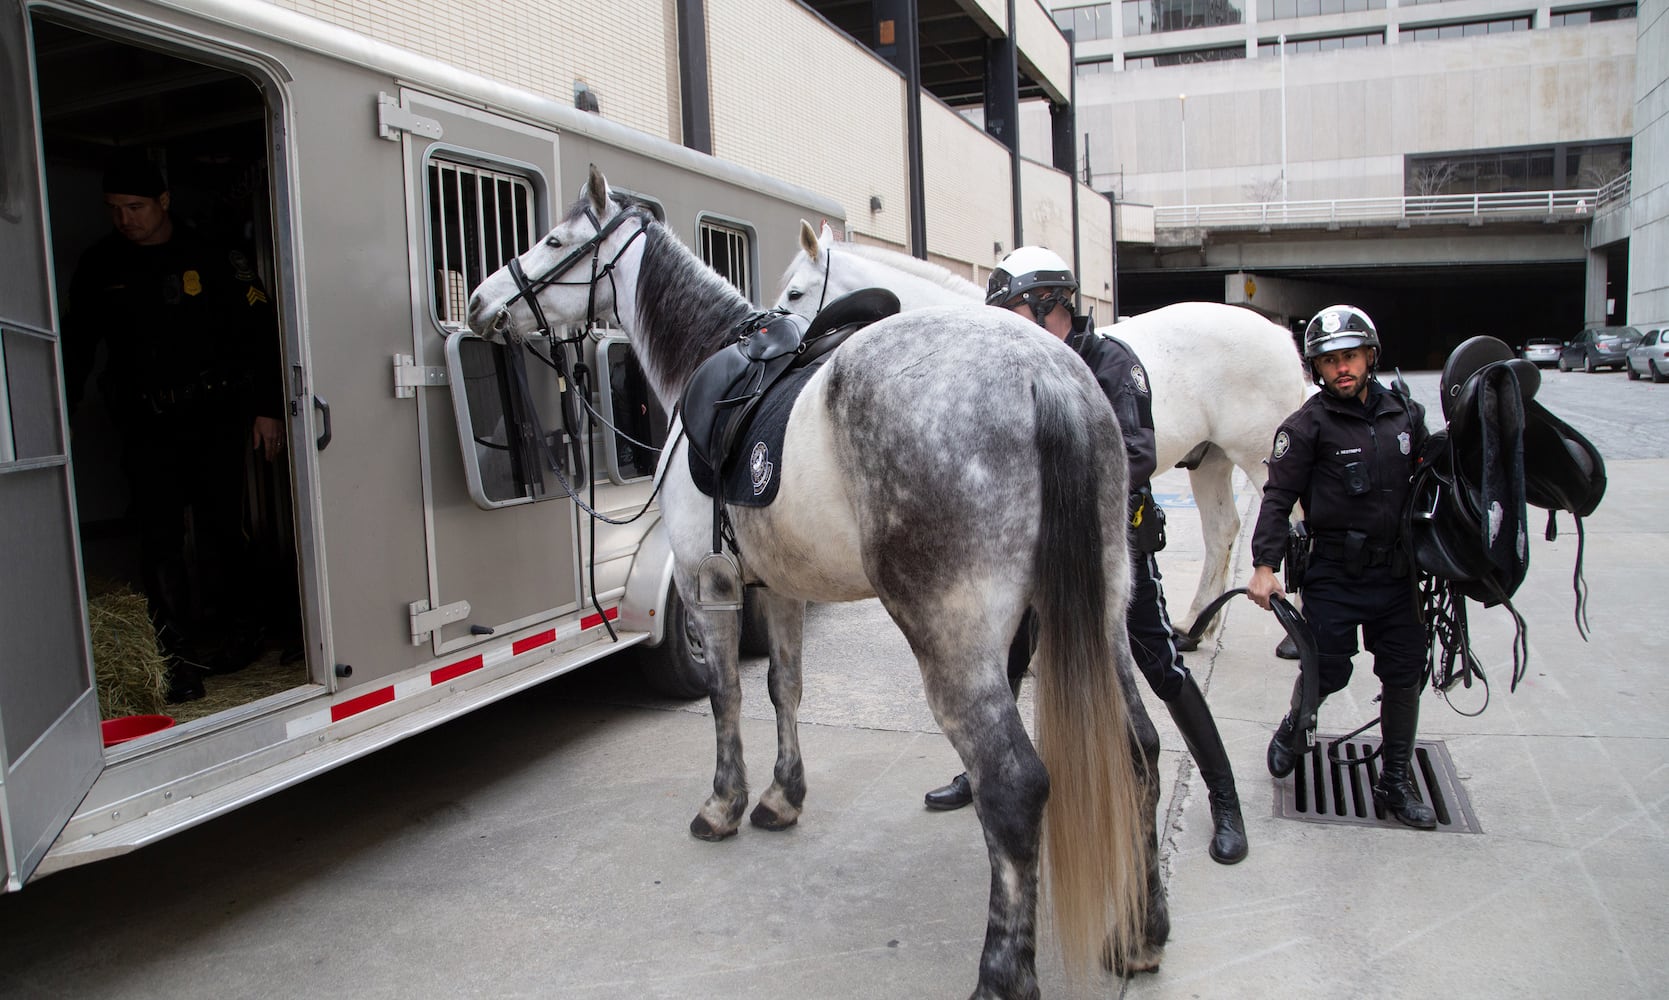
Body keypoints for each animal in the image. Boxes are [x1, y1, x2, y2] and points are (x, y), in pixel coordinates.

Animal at [470, 168, 1168, 994]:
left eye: (552, 240)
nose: (480, 301)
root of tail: (1043, 374)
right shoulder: (781, 589)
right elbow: (785, 688)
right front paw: (782, 797)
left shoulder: (709, 583)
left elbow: (725, 695)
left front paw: (724, 804)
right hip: (1102, 611)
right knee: (1139, 749)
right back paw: (1140, 934)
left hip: (955, 640)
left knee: (1013, 785)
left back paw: (1002, 974)